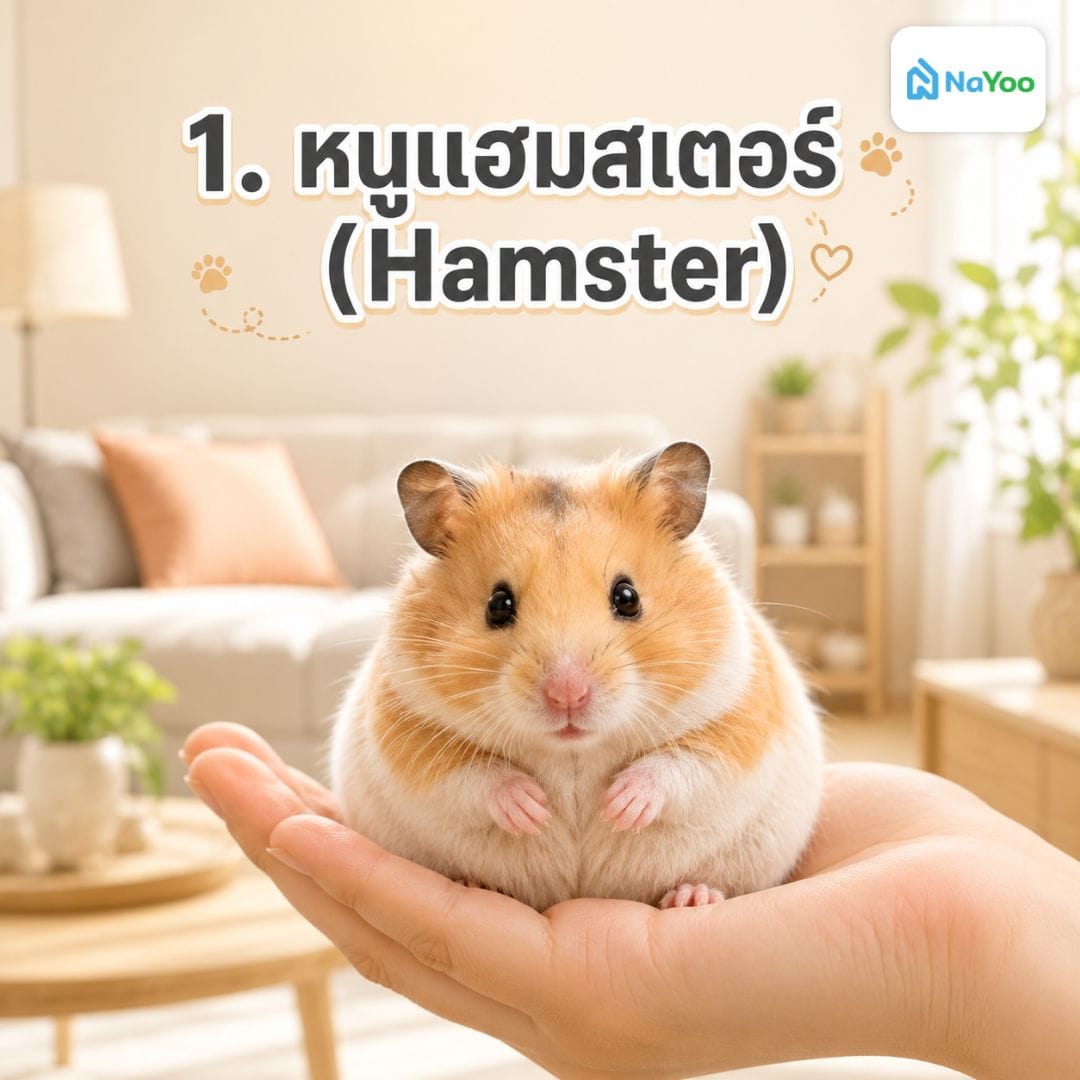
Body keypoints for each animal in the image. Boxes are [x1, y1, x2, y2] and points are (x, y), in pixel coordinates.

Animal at [331, 442, 823, 911]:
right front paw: (534, 810)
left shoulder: (737, 718)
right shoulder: (411, 733)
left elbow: (681, 766)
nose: (567, 695)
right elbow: (472, 777)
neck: (574, 751)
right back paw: (474, 883)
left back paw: (692, 895)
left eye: (627, 597)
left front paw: (618, 805)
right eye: (498, 604)